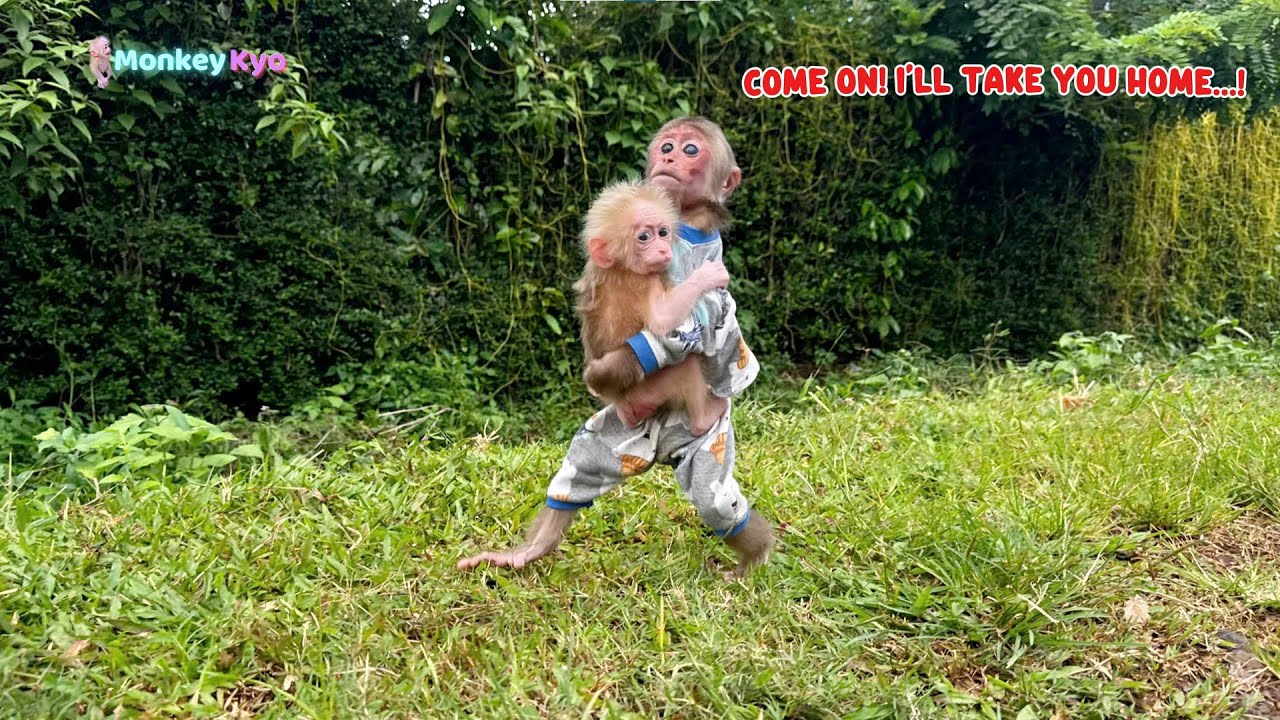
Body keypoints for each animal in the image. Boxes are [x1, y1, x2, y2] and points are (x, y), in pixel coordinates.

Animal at [457, 117, 774, 581]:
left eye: (691, 150)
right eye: (668, 147)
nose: (669, 158)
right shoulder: (656, 277)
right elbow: (668, 324)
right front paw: (708, 281)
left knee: (711, 502)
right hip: (631, 423)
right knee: (586, 468)